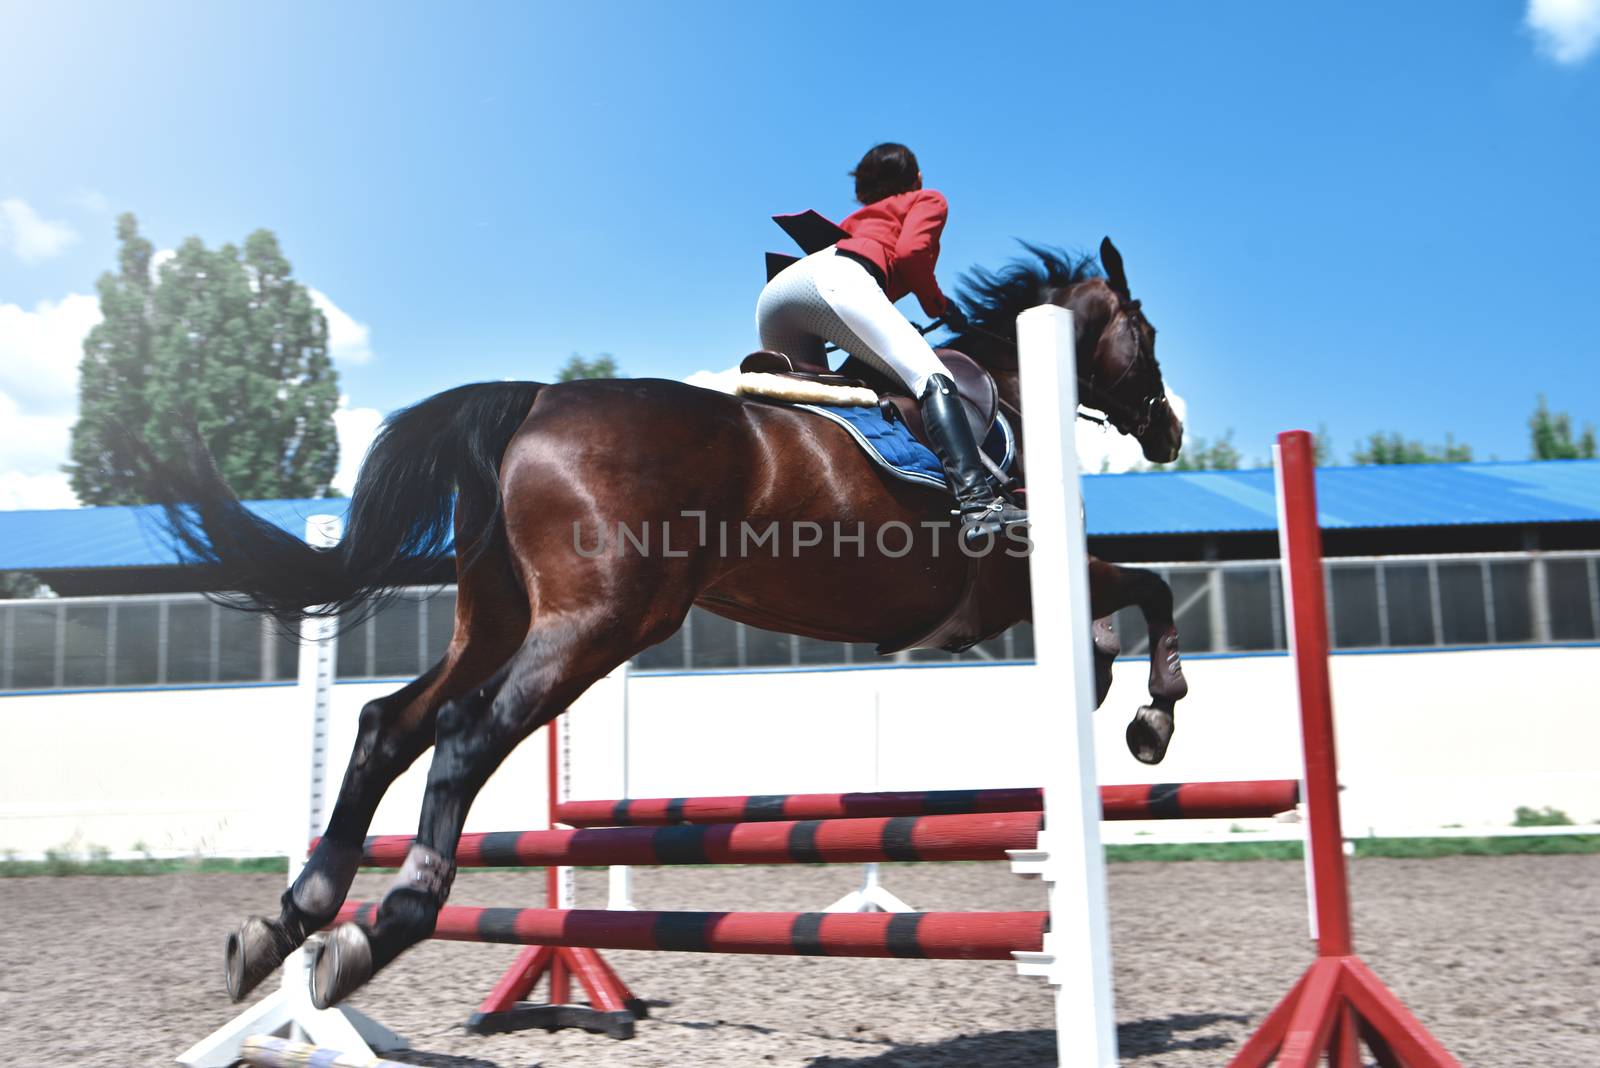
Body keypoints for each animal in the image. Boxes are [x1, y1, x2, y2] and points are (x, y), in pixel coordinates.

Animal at [152, 235, 1190, 1010]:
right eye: (1145, 333)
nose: (1170, 430)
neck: (1012, 395)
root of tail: (537, 398)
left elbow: (1117, 608)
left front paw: (1107, 691)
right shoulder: (1011, 579)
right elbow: (1147, 586)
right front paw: (1153, 716)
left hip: (499, 620)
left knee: (387, 725)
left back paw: (290, 920)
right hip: (600, 624)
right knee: (466, 730)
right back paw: (384, 924)